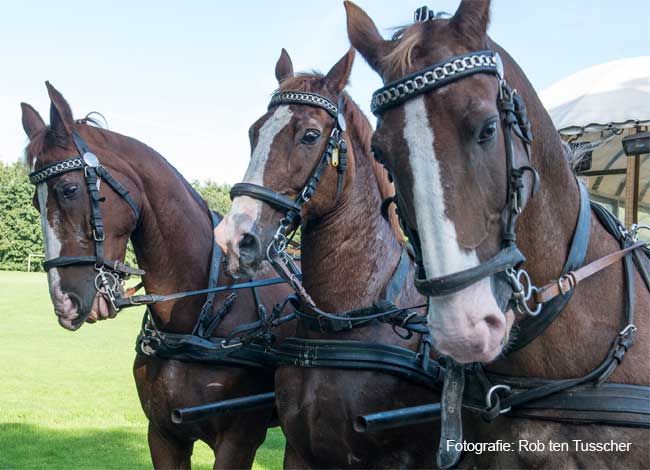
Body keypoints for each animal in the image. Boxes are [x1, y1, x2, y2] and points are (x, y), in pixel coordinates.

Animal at [20, 82, 294, 468]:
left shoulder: (239, 441)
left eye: (69, 190)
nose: (65, 302)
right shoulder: (164, 435)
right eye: (34, 202)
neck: (198, 317)